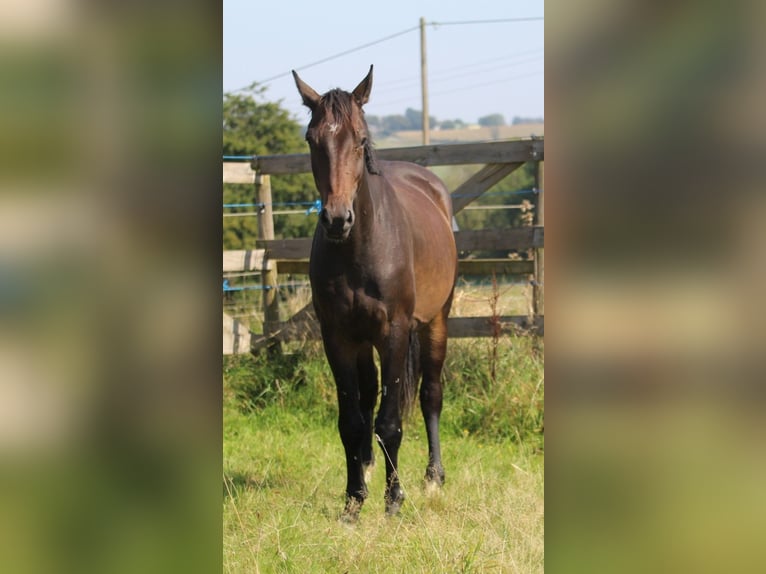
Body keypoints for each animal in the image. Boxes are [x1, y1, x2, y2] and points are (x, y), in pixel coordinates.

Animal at [294, 66, 460, 520]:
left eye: (361, 139)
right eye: (312, 139)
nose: (337, 220)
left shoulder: (394, 331)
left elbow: (390, 421)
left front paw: (393, 501)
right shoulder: (337, 334)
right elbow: (351, 420)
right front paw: (353, 501)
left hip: (436, 321)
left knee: (430, 394)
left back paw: (433, 478)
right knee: (368, 397)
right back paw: (367, 467)